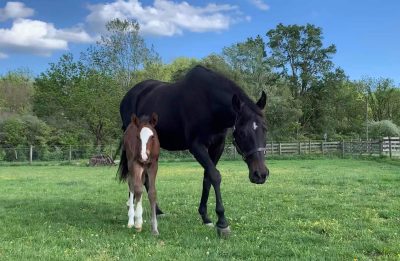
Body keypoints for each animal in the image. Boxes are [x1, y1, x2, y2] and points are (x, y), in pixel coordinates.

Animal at [118, 64, 268, 234]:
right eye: (242, 132)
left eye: (265, 129)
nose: (260, 174)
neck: (209, 103)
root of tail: (128, 96)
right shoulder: (197, 147)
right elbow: (215, 176)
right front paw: (222, 222)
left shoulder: (217, 146)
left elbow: (208, 178)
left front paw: (205, 217)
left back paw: (157, 211)